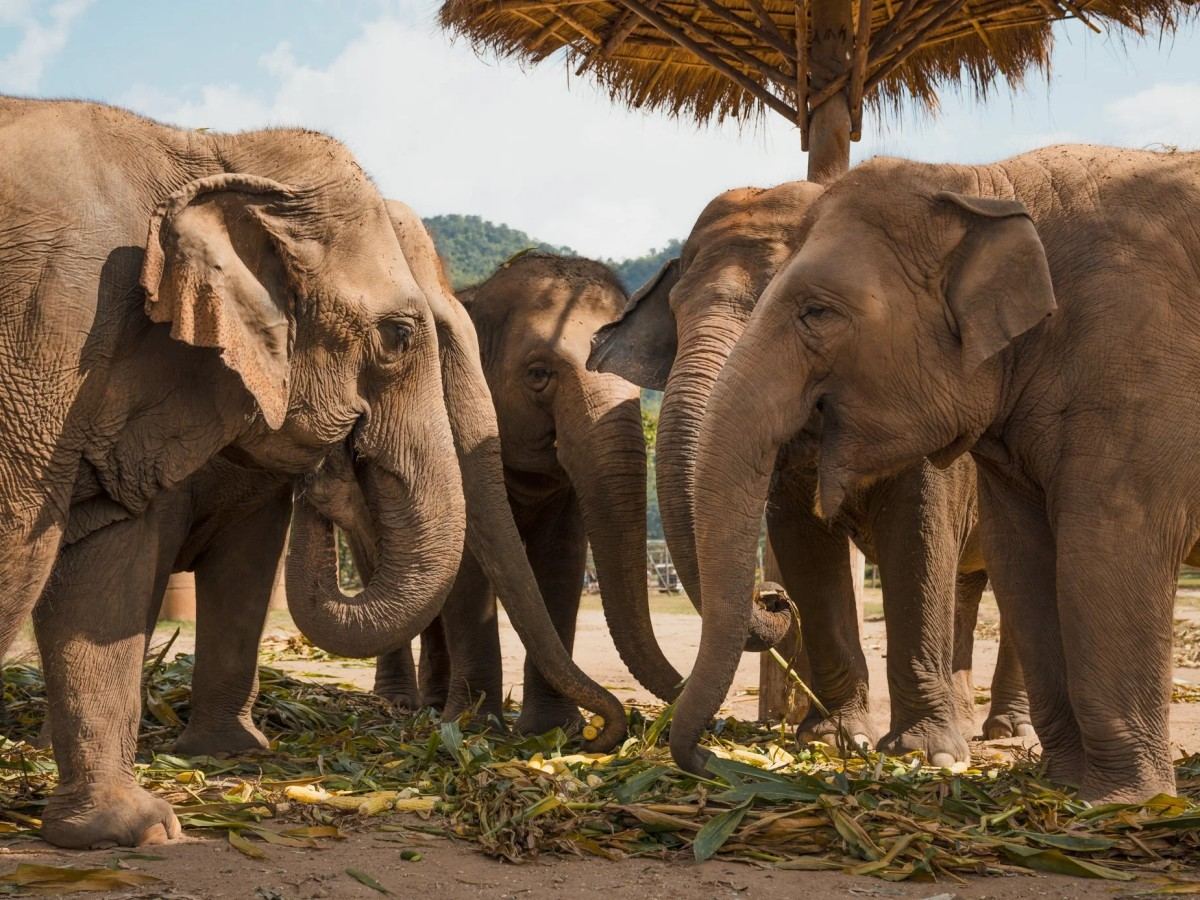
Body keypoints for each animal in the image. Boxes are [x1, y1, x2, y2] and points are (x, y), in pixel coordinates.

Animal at [0, 96, 624, 848]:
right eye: (399, 337)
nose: (603, 739)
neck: (206, 150)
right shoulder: (48, 322)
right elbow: (33, 547)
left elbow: (124, 561)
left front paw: (150, 819)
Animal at [371, 251, 677, 732]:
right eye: (538, 374)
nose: (605, 730)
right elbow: (467, 565)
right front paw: (474, 726)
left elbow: (562, 558)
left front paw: (552, 730)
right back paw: (413, 707)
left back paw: (434, 705)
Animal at [590, 183, 1030, 764]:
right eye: (676, 312)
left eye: (805, 312)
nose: (772, 596)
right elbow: (806, 548)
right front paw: (837, 740)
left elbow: (918, 537)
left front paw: (923, 754)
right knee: (965, 581)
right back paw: (964, 719)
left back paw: (1009, 731)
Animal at [678, 145, 1200, 802]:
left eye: (816, 311)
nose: (707, 759)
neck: (983, 183)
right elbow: (1023, 554)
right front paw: (1061, 788)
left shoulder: (1139, 359)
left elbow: (1108, 543)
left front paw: (1124, 803)